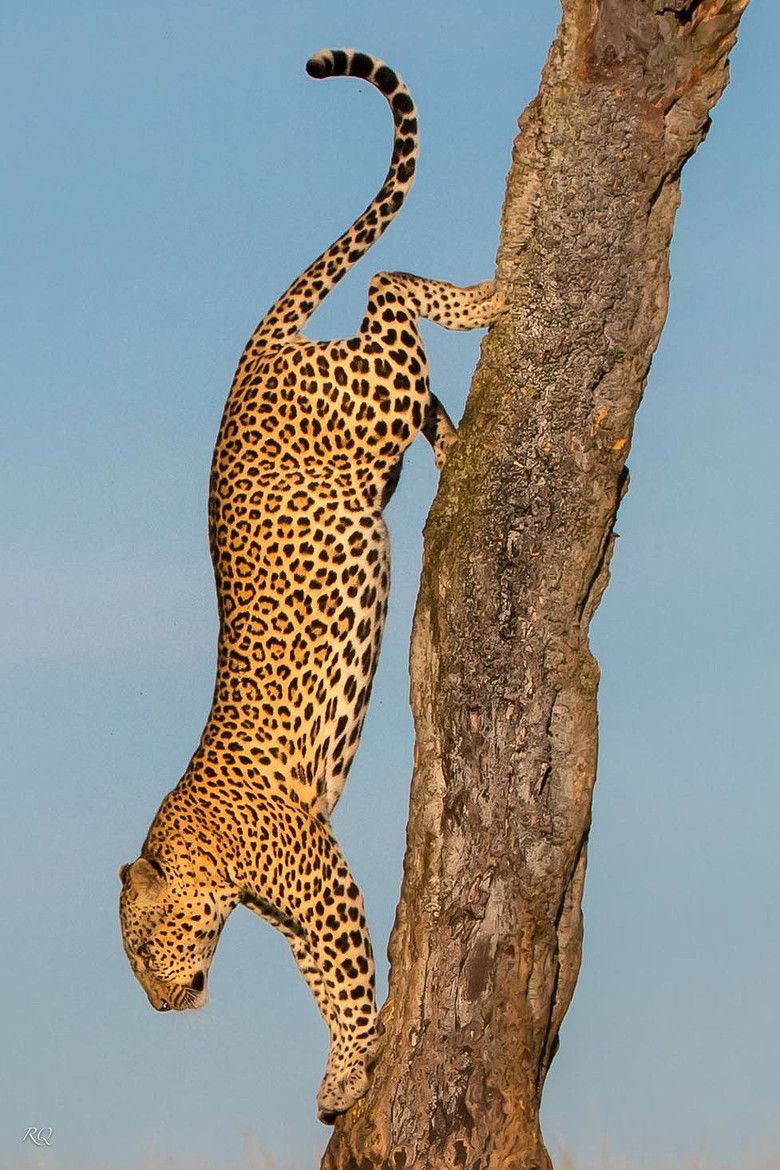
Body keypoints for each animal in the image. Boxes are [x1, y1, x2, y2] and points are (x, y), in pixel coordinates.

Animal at [119, 47, 503, 1122]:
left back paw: (491, 299)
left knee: (388, 287)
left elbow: (348, 977)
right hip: (373, 438)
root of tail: (252, 351)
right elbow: (321, 983)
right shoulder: (292, 909)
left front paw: (359, 1061)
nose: (158, 1006)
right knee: (404, 350)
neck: (201, 844)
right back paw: (457, 442)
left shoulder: (318, 880)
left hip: (366, 400)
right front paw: (340, 1075)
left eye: (140, 947)